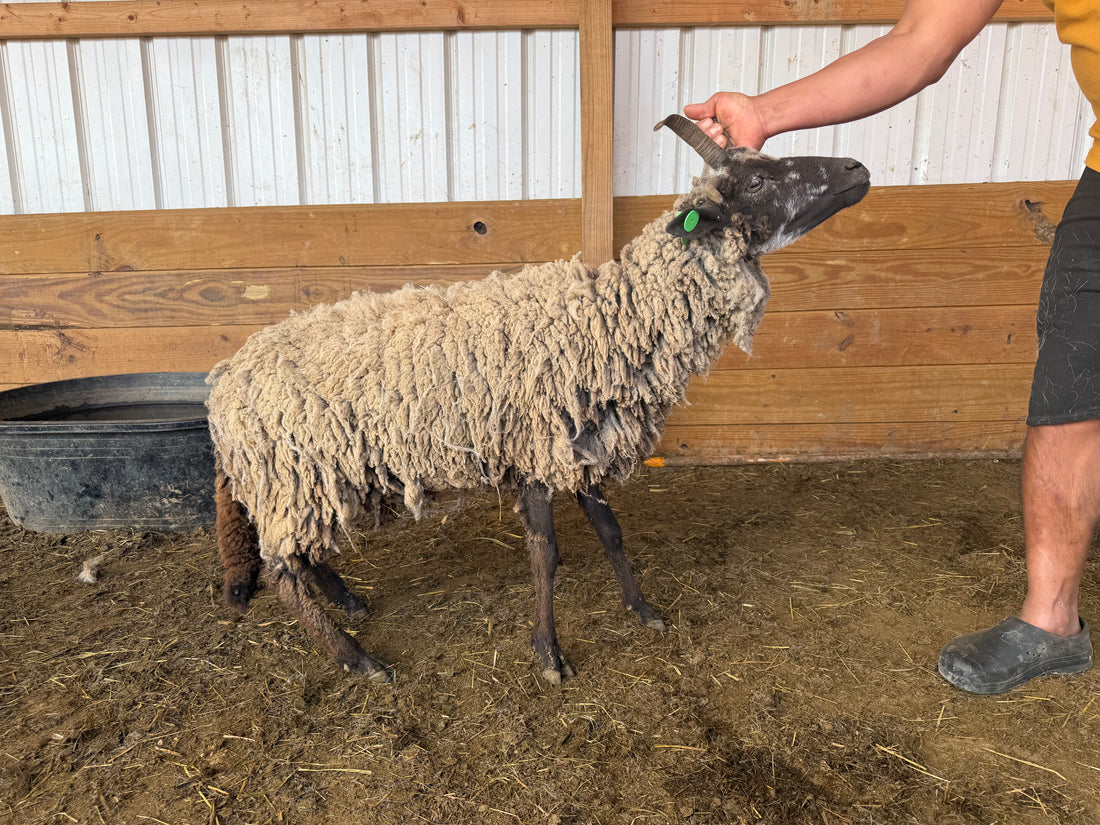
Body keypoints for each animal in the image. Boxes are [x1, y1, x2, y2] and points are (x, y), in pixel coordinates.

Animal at [206, 115, 870, 684]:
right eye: (756, 180)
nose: (858, 168)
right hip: (290, 475)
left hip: (315, 477)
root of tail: (224, 382)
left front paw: (643, 609)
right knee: (283, 570)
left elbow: (611, 533)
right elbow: (544, 556)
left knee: (302, 553)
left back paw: (349, 600)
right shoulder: (537, 455)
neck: (611, 321)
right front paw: (550, 653)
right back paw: (357, 657)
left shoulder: (584, 443)